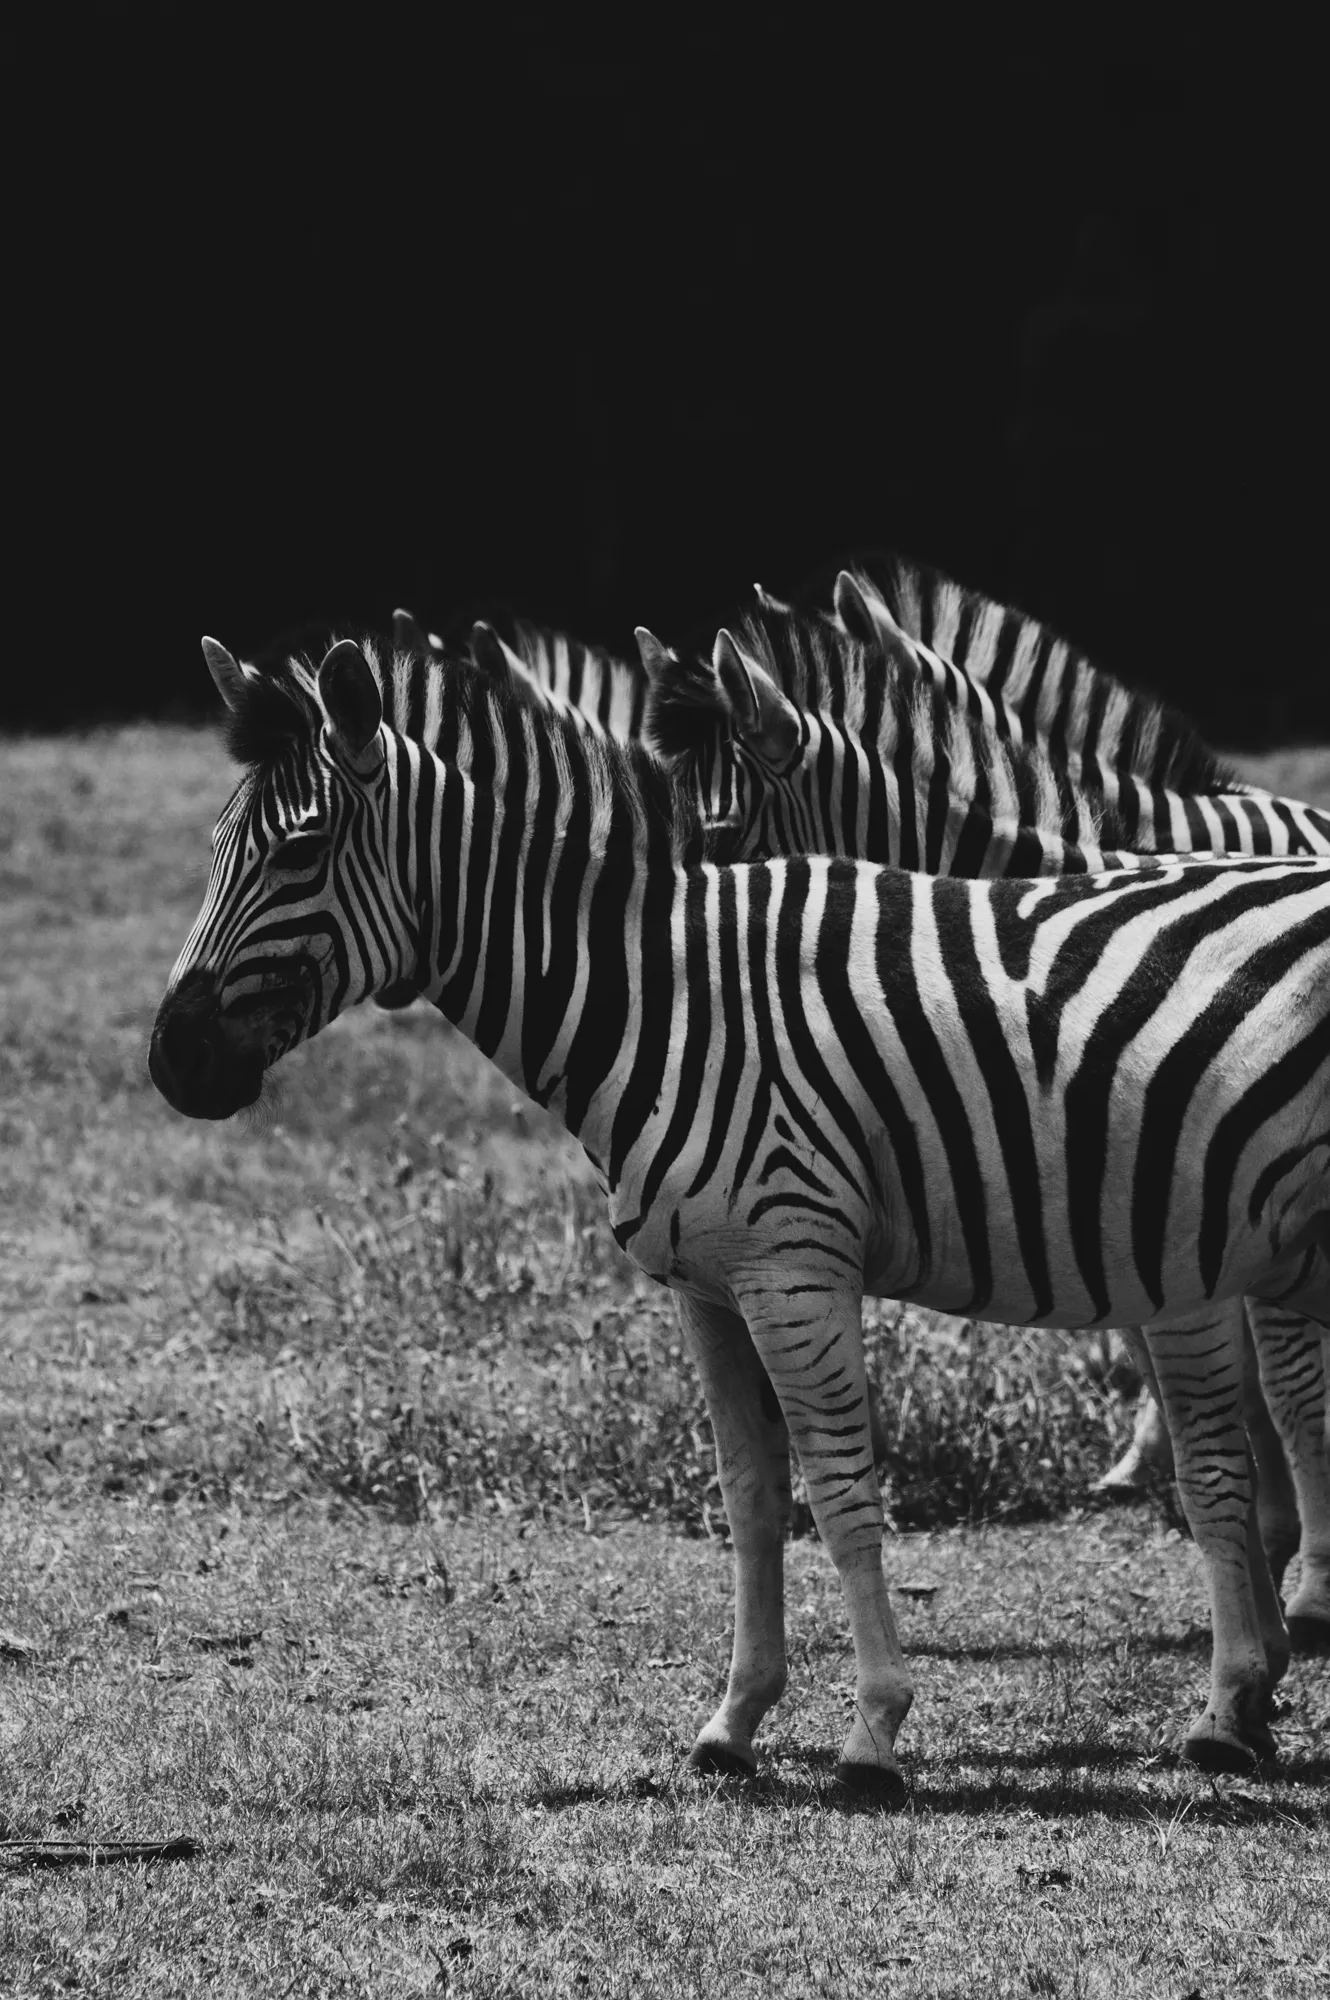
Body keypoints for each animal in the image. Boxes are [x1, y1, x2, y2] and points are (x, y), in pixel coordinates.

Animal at [145, 636, 1328, 1784]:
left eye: (298, 853)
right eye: (214, 848)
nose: (170, 1062)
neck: (669, 1004)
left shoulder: (792, 1269)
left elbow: (842, 1491)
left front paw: (874, 1730)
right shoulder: (707, 1283)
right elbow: (750, 1496)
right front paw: (734, 1721)